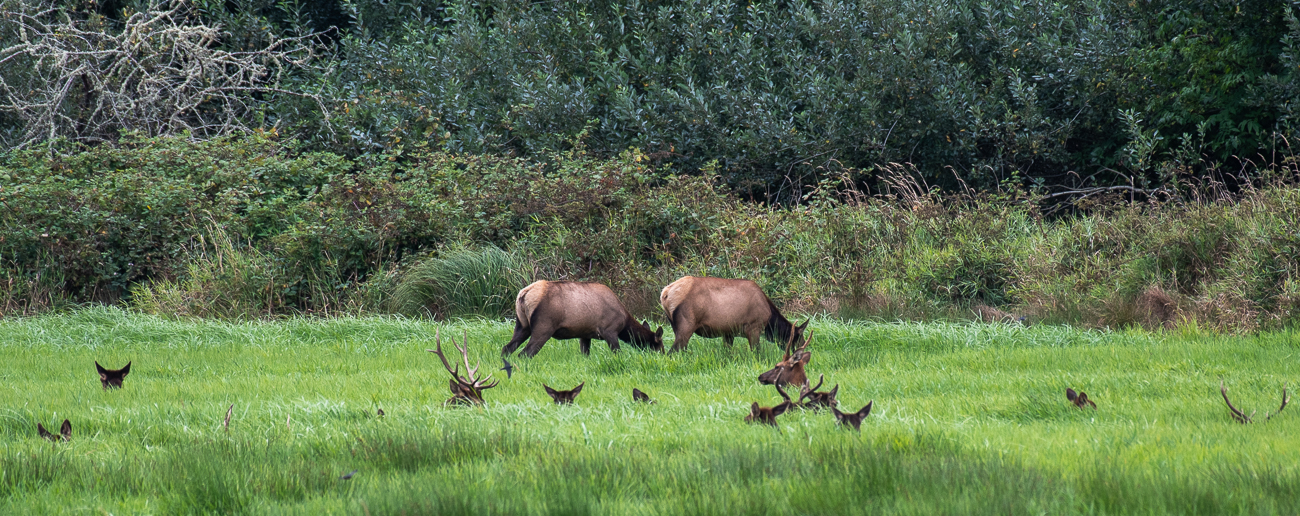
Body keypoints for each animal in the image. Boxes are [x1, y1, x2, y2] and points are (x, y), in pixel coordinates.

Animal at [501, 279, 665, 356]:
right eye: (659, 346)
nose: (664, 356)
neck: (625, 324)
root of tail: (524, 294)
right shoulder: (609, 330)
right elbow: (617, 352)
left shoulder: (585, 334)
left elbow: (585, 353)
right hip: (544, 326)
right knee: (525, 353)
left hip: (522, 324)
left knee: (507, 348)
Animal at [665, 275, 806, 350]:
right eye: (799, 340)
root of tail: (665, 294)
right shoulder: (753, 326)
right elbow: (756, 351)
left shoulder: (728, 332)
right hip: (686, 325)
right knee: (673, 351)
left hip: (675, 326)